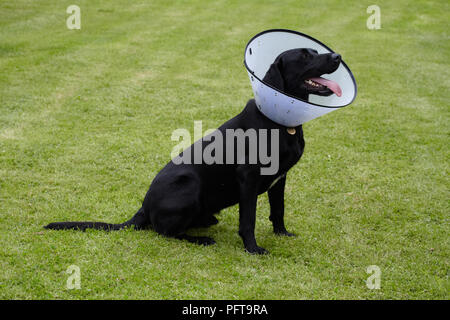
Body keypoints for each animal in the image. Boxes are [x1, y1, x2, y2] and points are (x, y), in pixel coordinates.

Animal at [45, 47, 342, 254]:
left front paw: (282, 234)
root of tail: (143, 207)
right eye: (304, 56)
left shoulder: (280, 178)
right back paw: (201, 239)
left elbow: (278, 209)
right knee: (164, 231)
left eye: (314, 51)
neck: (282, 123)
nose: (337, 55)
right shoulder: (248, 176)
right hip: (188, 183)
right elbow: (248, 219)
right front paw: (253, 249)